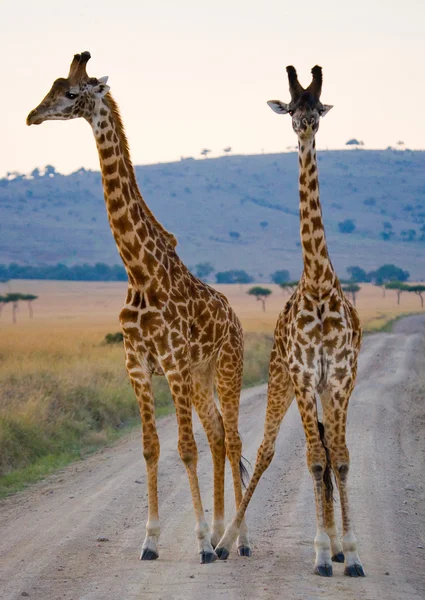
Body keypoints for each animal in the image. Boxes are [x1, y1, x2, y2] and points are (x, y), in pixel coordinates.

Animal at [215, 64, 364, 576]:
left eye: (317, 108)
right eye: (292, 107)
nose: (305, 126)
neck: (317, 285)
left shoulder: (338, 377)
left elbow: (339, 457)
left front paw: (350, 554)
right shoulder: (301, 373)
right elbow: (314, 458)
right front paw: (320, 553)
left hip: (322, 389)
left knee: (324, 448)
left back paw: (337, 546)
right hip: (281, 379)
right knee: (266, 450)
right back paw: (226, 542)